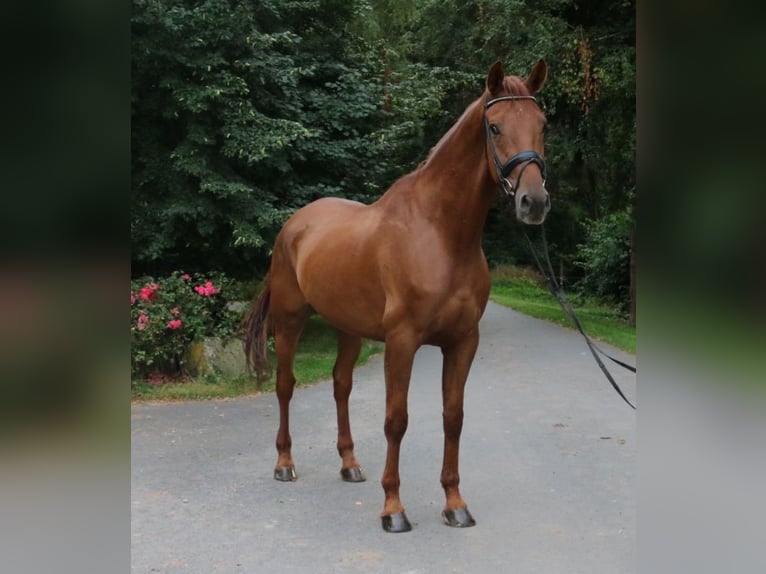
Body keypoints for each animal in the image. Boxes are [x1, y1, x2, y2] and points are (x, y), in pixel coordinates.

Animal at [243, 59, 548, 536]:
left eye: (542, 125)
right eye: (496, 127)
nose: (534, 202)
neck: (440, 234)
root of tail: (294, 225)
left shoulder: (463, 342)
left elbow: (453, 418)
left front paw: (455, 503)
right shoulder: (403, 342)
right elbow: (396, 420)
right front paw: (393, 508)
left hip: (347, 329)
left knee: (341, 384)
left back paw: (349, 464)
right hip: (291, 321)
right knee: (285, 384)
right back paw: (285, 463)